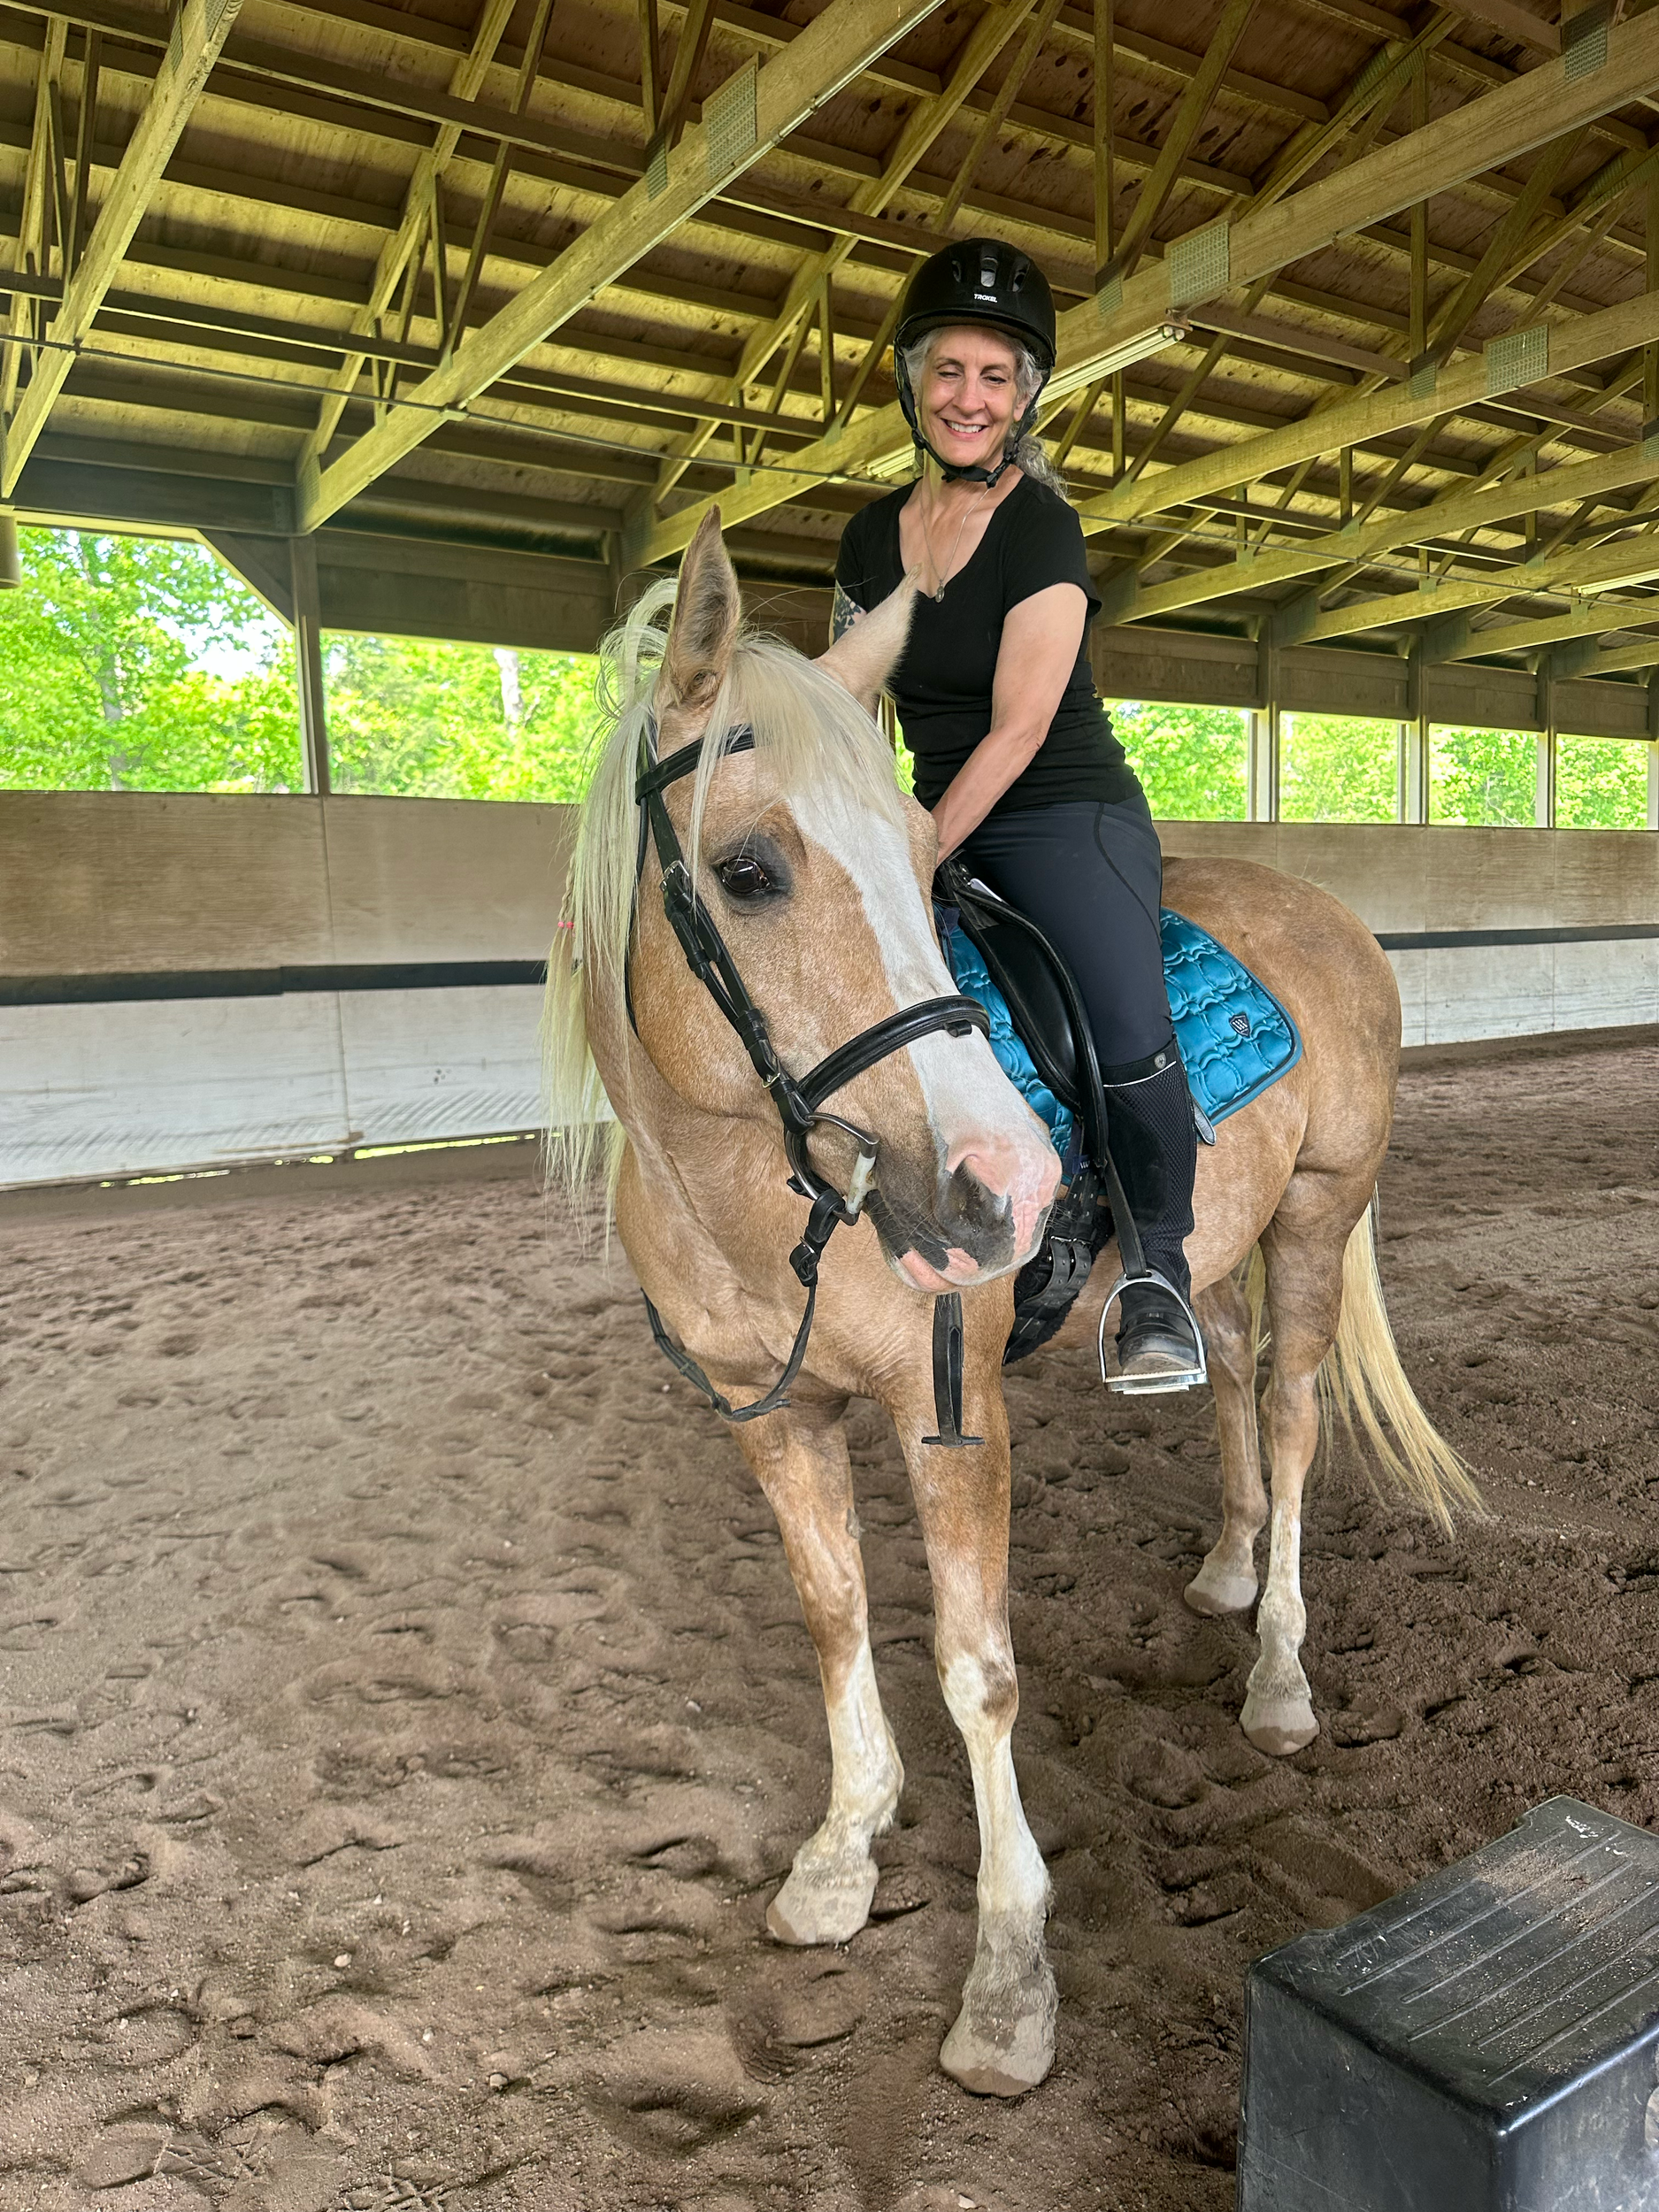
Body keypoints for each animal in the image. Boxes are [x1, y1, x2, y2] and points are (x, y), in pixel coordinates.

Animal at [544, 508, 1474, 2099]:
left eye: (923, 860)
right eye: (746, 869)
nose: (1005, 1184)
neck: (756, 1193)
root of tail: (1325, 918)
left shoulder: (950, 1415)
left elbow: (975, 1670)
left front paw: (1005, 1982)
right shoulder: (769, 1414)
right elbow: (833, 1616)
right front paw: (838, 1859)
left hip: (1316, 1213)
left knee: (1290, 1413)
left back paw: (1278, 1674)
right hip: (1213, 1246)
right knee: (1225, 1380)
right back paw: (1225, 1568)